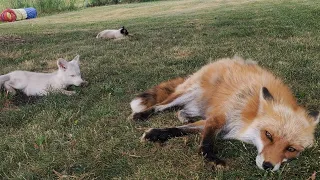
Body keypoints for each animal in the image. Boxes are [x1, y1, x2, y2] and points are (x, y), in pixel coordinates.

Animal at [129, 56, 318, 172]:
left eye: (291, 149)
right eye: (268, 135)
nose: (268, 166)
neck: (250, 112)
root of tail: (222, 60)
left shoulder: (213, 120)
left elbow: (181, 129)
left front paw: (158, 133)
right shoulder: (220, 116)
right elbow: (205, 141)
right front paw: (212, 158)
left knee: (182, 110)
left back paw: (185, 115)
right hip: (189, 92)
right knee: (160, 106)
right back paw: (141, 115)